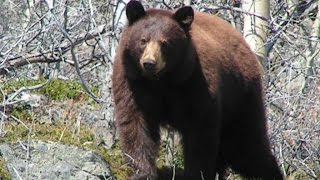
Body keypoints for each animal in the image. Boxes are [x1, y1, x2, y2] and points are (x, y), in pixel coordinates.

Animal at [112, 0, 282, 179]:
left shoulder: (194, 83)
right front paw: (142, 172)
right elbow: (135, 124)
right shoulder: (132, 83)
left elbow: (200, 132)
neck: (161, 80)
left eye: (165, 43)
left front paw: (196, 173)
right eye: (143, 40)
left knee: (247, 145)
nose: (149, 63)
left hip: (241, 95)